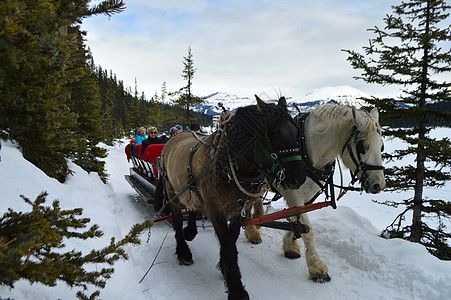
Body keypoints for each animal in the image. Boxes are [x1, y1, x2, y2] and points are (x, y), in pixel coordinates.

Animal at [156, 96, 308, 300]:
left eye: (297, 132)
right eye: (274, 135)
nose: (298, 179)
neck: (227, 165)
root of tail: (173, 138)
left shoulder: (240, 210)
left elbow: (232, 239)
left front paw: (225, 268)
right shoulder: (216, 211)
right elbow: (229, 246)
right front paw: (236, 287)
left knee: (194, 207)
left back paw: (191, 231)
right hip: (173, 192)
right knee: (177, 220)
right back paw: (183, 251)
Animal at [245, 102, 386, 282]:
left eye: (381, 146)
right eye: (362, 146)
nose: (378, 184)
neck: (306, 149)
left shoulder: (306, 196)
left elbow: (297, 220)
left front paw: (290, 245)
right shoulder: (294, 194)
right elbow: (308, 231)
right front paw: (317, 268)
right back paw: (251, 231)